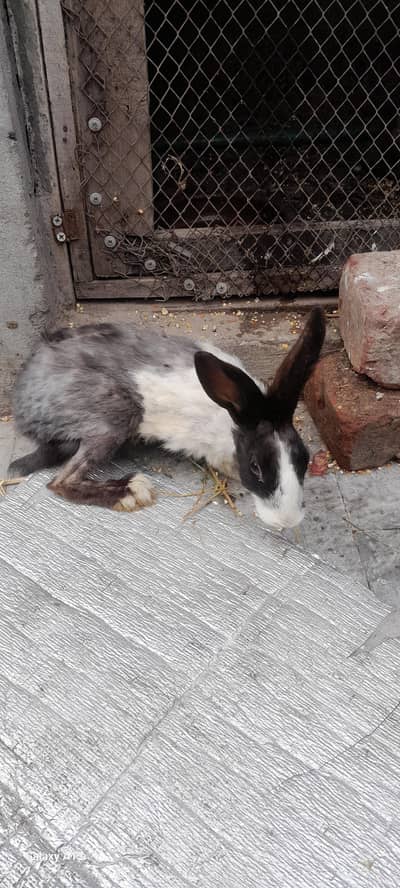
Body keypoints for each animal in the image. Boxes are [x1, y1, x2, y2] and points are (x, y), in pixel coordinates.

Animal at [9, 307, 325, 529]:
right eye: (255, 466)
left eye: (304, 458)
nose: (287, 521)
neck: (232, 422)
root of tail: (22, 399)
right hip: (116, 418)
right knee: (61, 481)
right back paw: (131, 491)